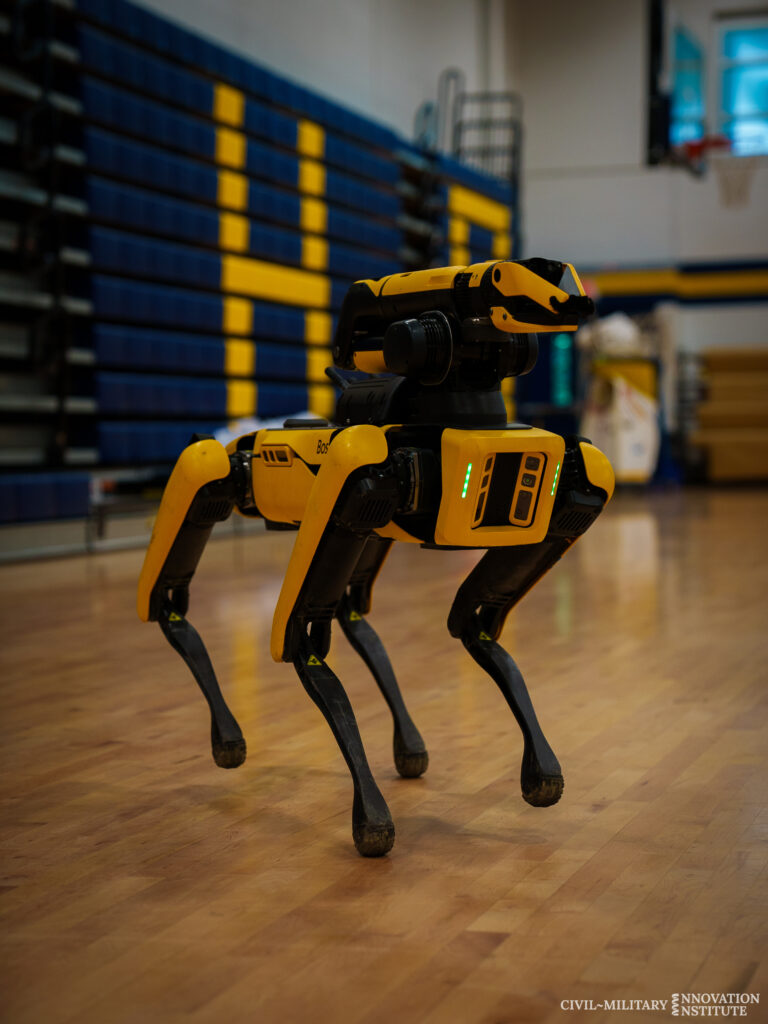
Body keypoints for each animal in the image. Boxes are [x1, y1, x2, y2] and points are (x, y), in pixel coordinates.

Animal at [138, 258, 618, 856]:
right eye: (503, 280)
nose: (575, 300)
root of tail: (248, 443)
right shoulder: (363, 468)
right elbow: (300, 637)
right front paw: (370, 814)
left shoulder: (576, 480)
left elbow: (475, 618)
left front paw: (539, 765)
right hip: (236, 474)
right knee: (198, 493)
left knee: (353, 607)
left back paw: (406, 739)